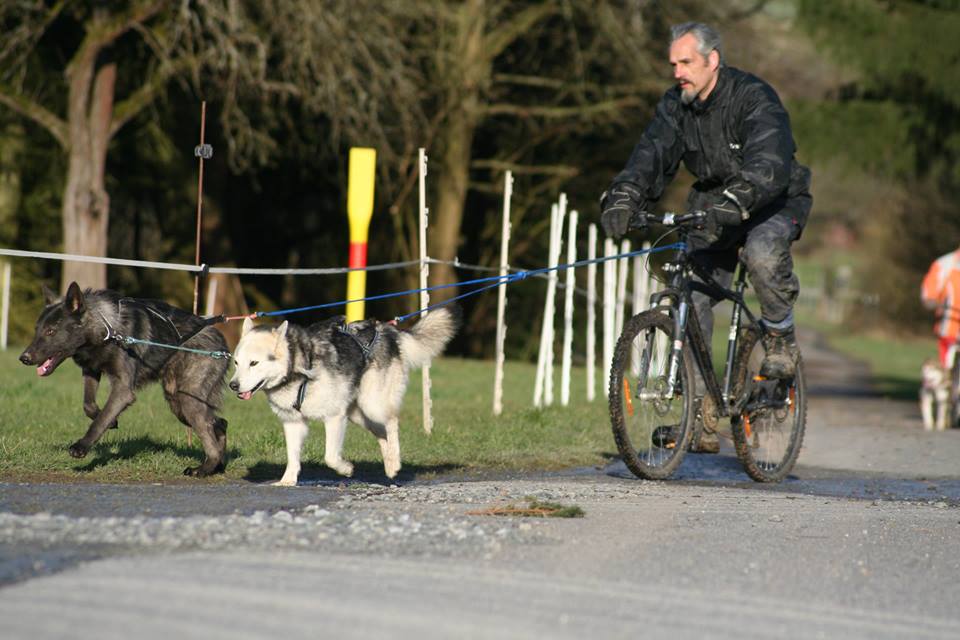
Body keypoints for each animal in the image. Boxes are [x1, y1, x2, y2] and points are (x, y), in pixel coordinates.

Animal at [19, 284, 230, 476]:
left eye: (51, 331)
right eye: (37, 330)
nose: (24, 358)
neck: (106, 327)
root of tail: (223, 343)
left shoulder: (122, 389)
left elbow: (101, 419)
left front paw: (82, 446)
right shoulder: (91, 370)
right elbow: (89, 405)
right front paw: (111, 421)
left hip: (188, 401)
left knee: (211, 435)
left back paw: (202, 469)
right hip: (178, 402)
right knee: (219, 424)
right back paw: (217, 465)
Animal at [231, 306, 460, 484]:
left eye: (254, 363)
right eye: (236, 362)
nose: (233, 385)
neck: (298, 366)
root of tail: (387, 329)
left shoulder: (334, 417)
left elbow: (330, 457)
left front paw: (346, 469)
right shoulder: (293, 423)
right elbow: (292, 456)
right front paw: (287, 480)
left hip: (372, 405)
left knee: (392, 423)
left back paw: (394, 463)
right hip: (358, 415)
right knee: (382, 433)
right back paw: (389, 463)